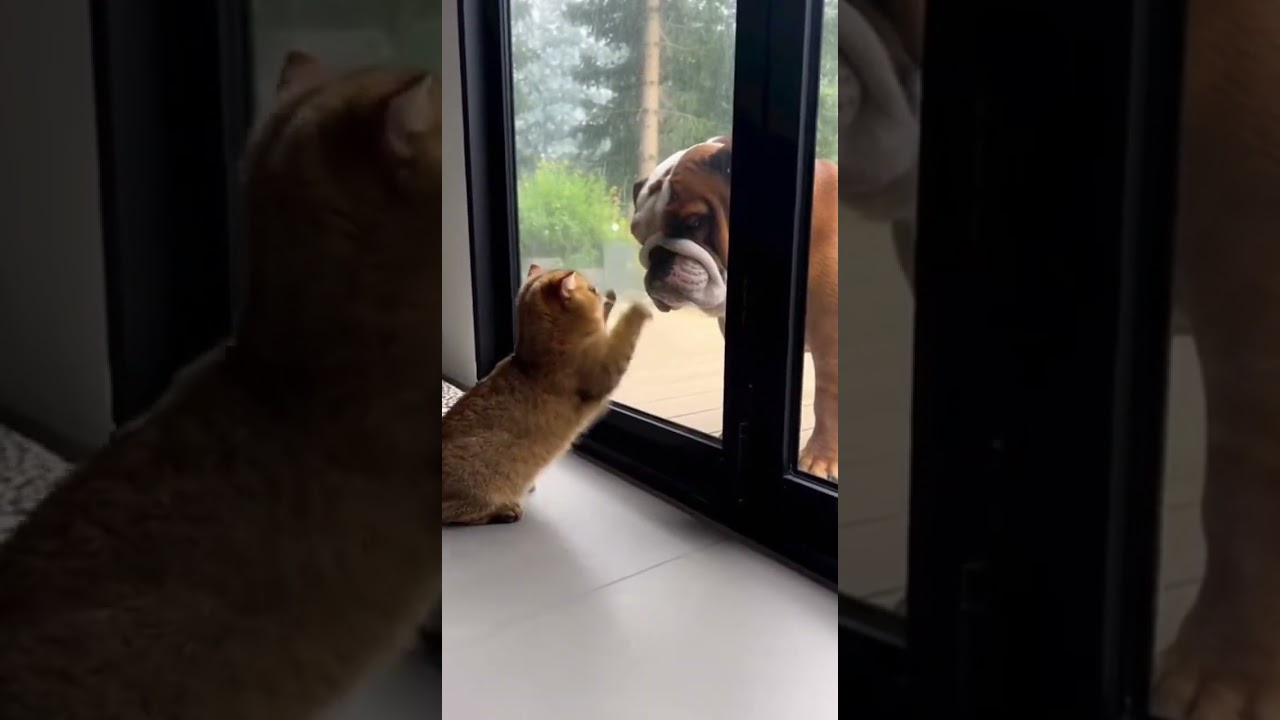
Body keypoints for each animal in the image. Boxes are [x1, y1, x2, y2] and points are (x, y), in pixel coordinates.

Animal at [441, 266, 649, 525]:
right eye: (591, 289)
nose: (600, 291)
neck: (534, 357)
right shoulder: (605, 370)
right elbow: (623, 335)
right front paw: (638, 305)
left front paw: (612, 299)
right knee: (460, 512)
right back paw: (507, 509)